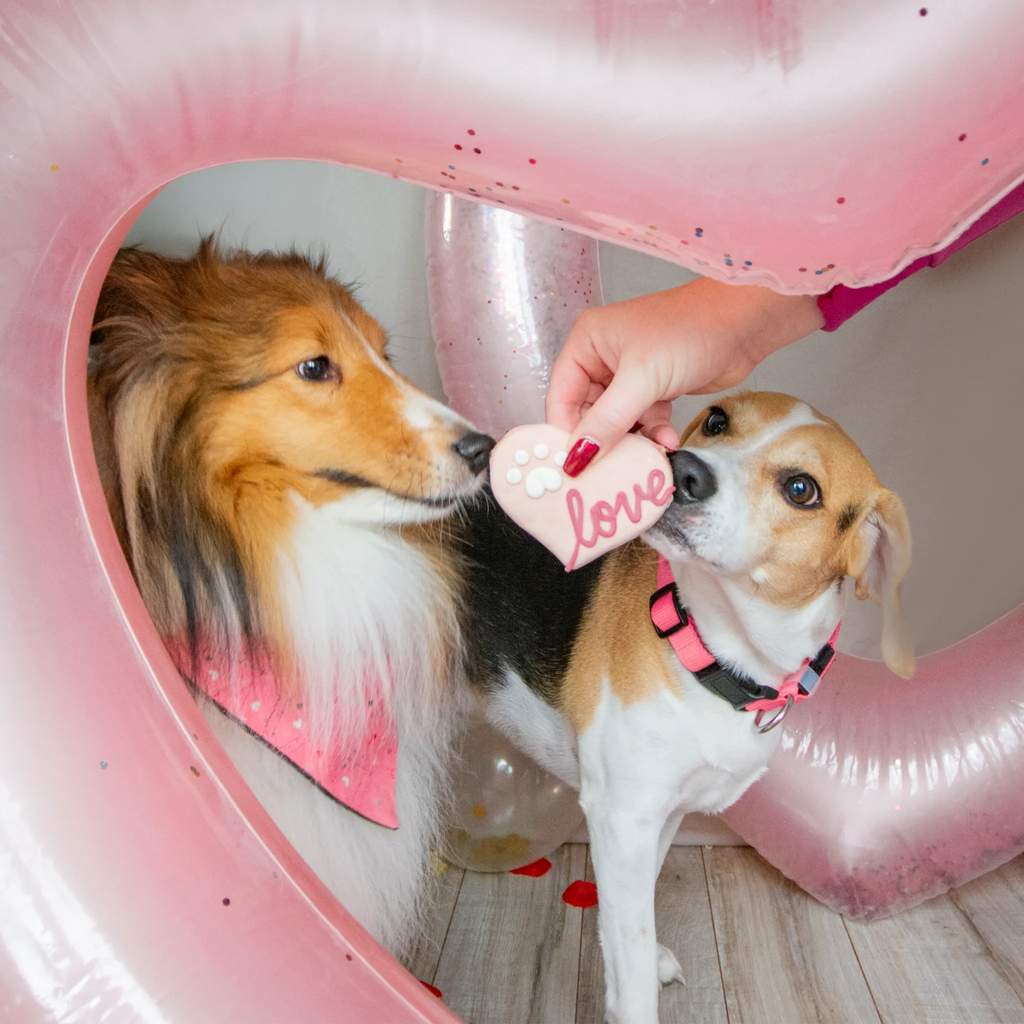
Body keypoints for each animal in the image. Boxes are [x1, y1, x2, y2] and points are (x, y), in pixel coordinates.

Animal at [462, 391, 913, 1024]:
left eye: (801, 489)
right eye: (718, 420)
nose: (682, 470)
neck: (705, 646)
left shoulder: (659, 814)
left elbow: (634, 912)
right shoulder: (623, 815)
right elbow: (631, 961)